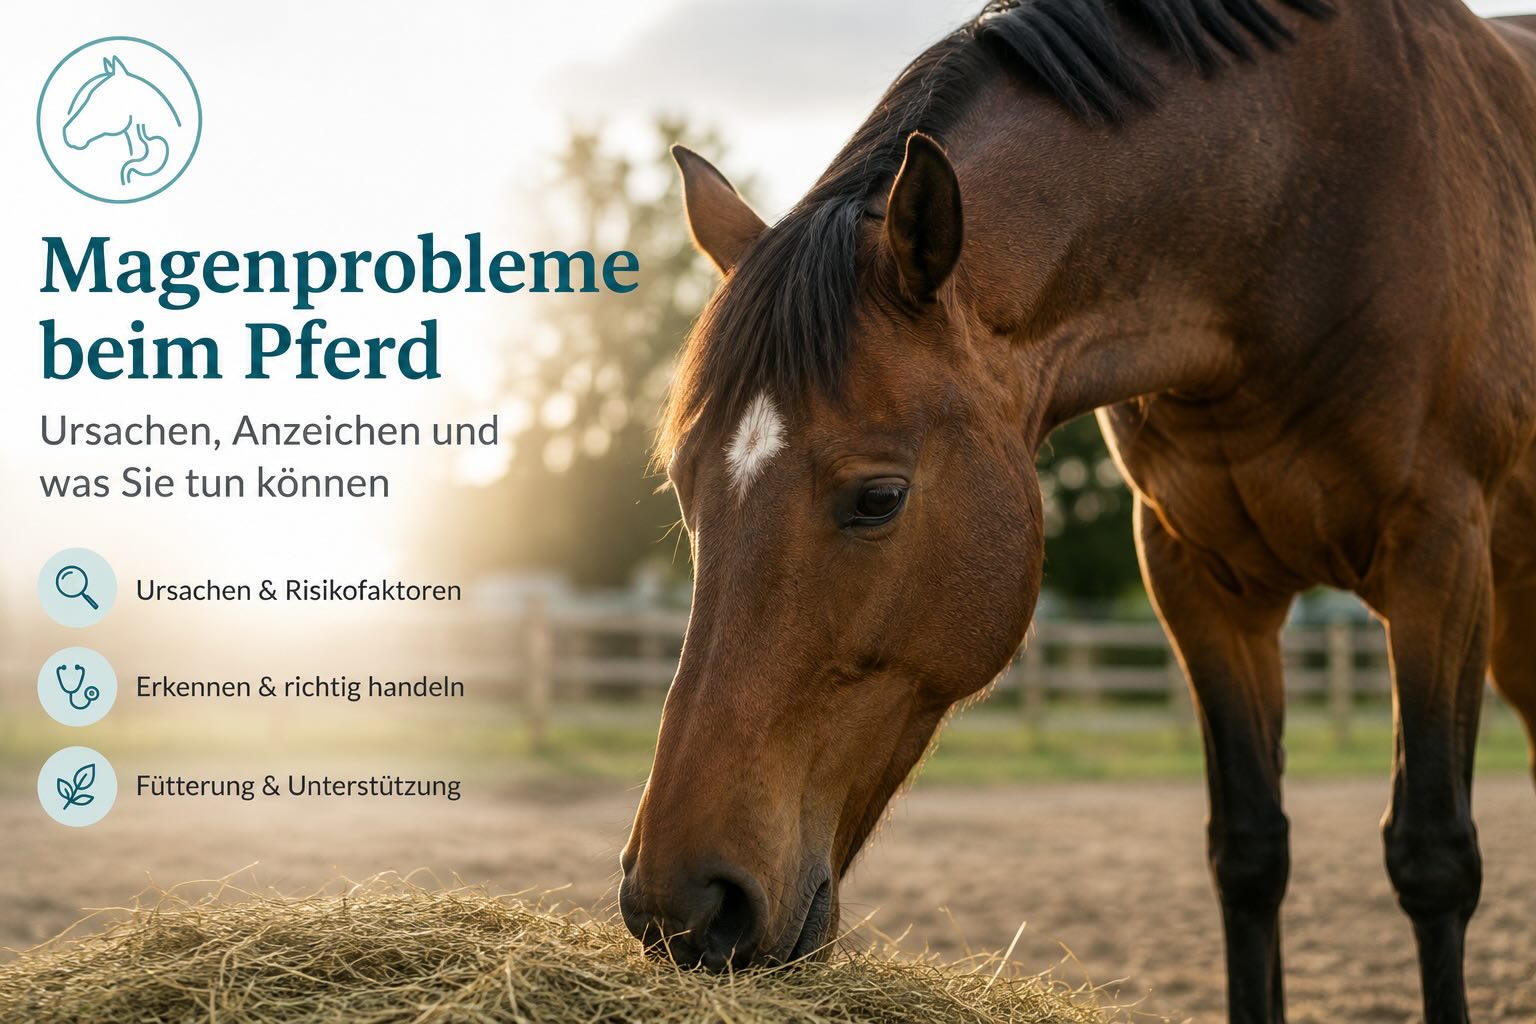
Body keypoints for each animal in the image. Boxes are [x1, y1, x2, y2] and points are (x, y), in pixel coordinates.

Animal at [617, 1, 1536, 1021]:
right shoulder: (1198, 583)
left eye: (880, 497)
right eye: (686, 490)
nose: (684, 904)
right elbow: (1250, 852)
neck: (1298, 209)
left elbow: (1434, 857)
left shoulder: (1438, 561)